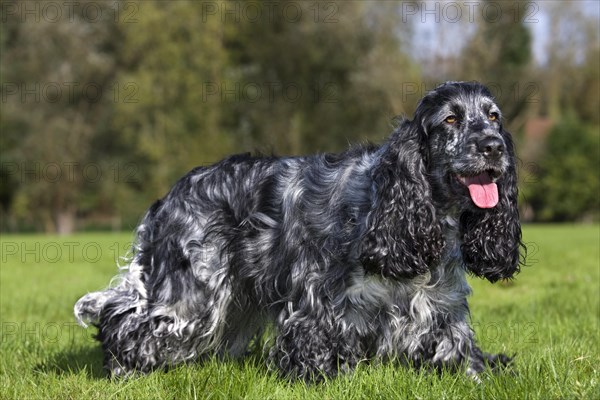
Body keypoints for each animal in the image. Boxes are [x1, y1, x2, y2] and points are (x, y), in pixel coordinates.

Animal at [76, 82, 524, 382]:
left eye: (494, 116)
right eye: (450, 119)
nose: (494, 146)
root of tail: (168, 196)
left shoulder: (442, 308)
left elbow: (461, 352)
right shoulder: (322, 300)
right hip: (193, 293)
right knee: (125, 320)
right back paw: (123, 370)